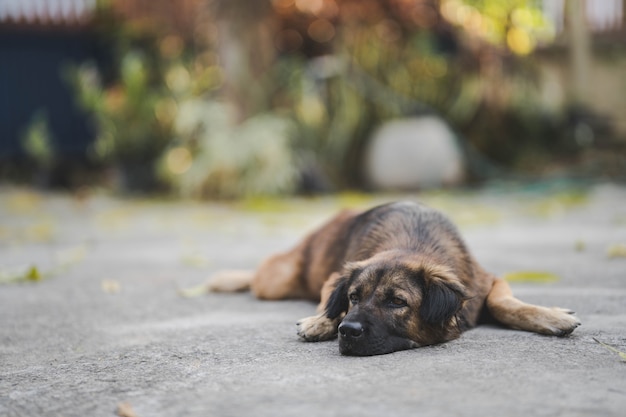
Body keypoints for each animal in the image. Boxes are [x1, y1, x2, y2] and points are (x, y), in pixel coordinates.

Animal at [210, 201, 580, 354]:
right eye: (353, 297)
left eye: (396, 302)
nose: (348, 332)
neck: (412, 243)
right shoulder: (333, 280)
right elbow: (329, 303)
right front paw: (321, 322)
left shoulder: (486, 281)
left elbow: (504, 302)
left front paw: (551, 317)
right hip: (277, 280)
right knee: (260, 273)